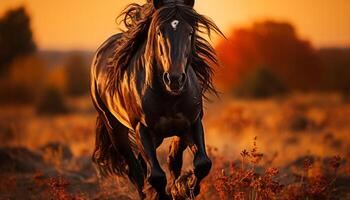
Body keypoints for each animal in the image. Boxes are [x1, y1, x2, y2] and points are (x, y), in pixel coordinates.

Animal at [89, 0, 223, 198]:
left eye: (190, 32)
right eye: (159, 32)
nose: (174, 79)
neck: (168, 96)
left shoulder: (191, 123)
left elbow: (200, 163)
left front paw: (184, 188)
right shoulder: (142, 129)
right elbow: (157, 176)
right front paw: (173, 191)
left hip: (158, 136)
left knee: (148, 163)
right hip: (116, 129)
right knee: (135, 170)